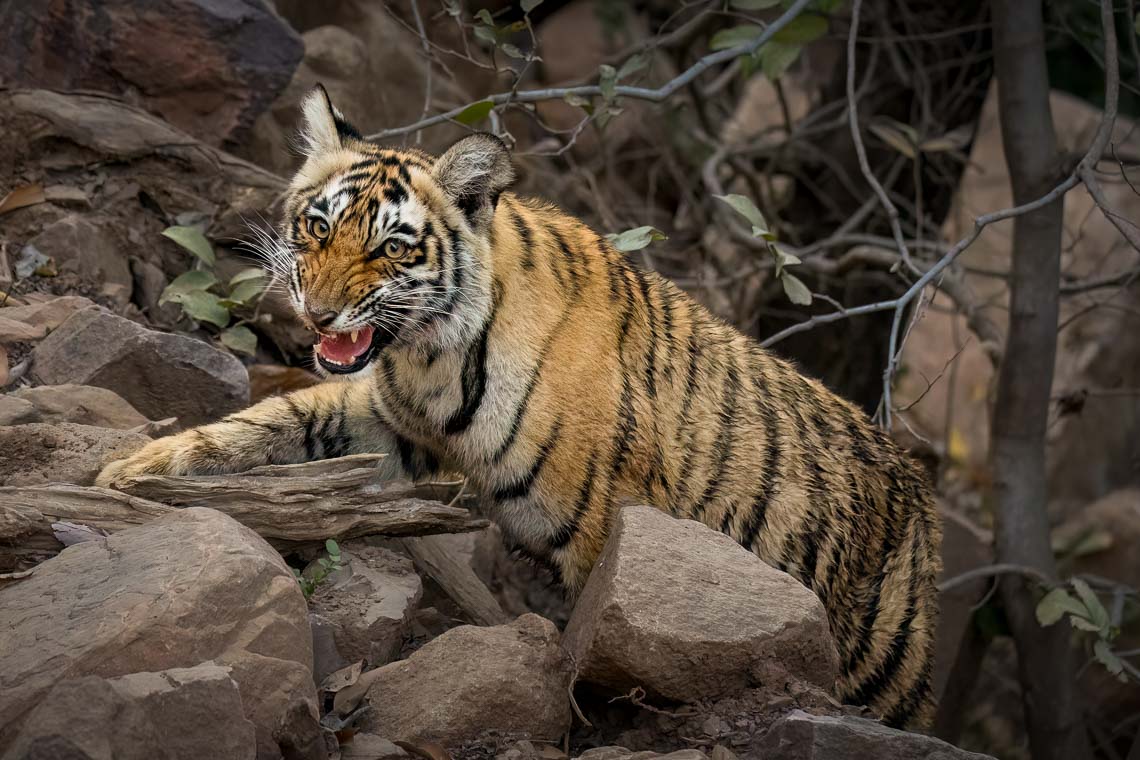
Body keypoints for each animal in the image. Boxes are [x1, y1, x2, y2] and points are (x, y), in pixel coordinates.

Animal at [98, 84, 939, 729]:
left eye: (391, 248)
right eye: (318, 225)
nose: (319, 313)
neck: (434, 358)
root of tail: (917, 488)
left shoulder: (608, 522)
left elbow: (601, 638)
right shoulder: (387, 425)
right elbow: (269, 422)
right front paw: (132, 471)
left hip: (881, 665)